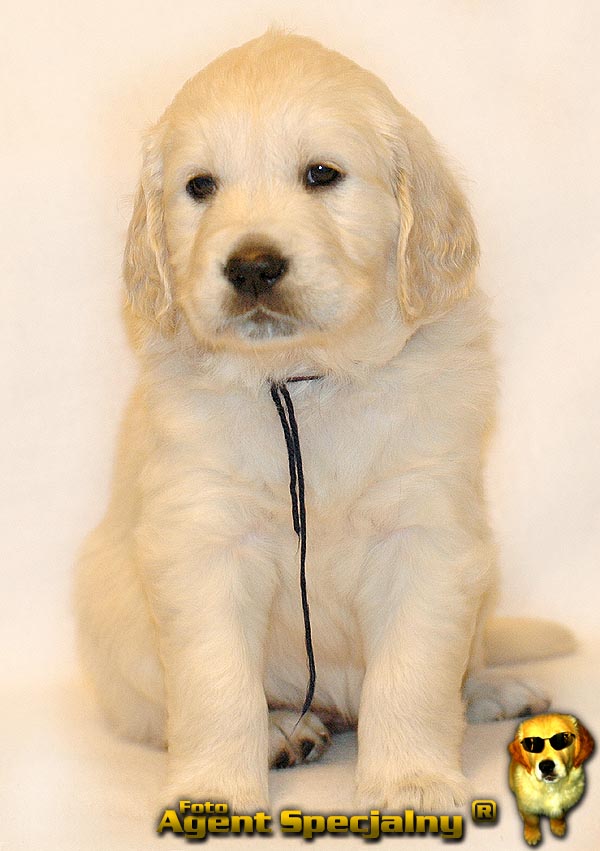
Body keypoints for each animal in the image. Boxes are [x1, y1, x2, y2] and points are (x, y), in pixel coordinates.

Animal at [75, 30, 552, 811]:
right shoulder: (205, 539)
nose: (252, 266)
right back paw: (283, 731)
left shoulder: (427, 535)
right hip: (112, 621)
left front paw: (413, 782)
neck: (306, 380)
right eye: (200, 187)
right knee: (160, 710)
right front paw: (215, 792)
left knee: (464, 661)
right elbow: (217, 687)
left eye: (322, 174)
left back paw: (492, 690)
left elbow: (412, 676)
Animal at [508, 714, 594, 845]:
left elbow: (559, 816)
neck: (551, 787)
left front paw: (558, 827)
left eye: (563, 738)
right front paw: (532, 835)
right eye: (531, 743)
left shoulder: (564, 806)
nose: (546, 766)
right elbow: (531, 821)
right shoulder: (527, 807)